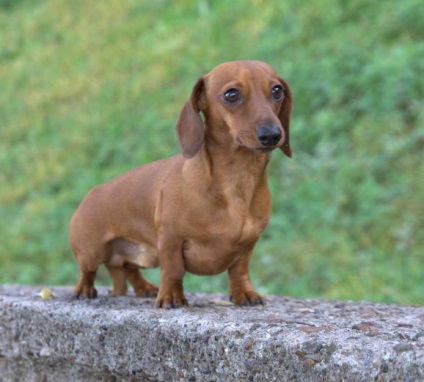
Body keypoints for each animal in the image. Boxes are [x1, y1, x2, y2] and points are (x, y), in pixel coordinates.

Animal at [68, 60, 292, 310]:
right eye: (231, 94)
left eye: (277, 91)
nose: (272, 135)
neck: (236, 181)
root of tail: (91, 193)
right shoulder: (170, 239)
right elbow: (173, 270)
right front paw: (170, 295)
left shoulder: (248, 244)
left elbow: (239, 270)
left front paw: (243, 292)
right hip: (92, 250)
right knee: (87, 270)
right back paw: (84, 289)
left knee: (128, 269)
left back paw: (144, 288)